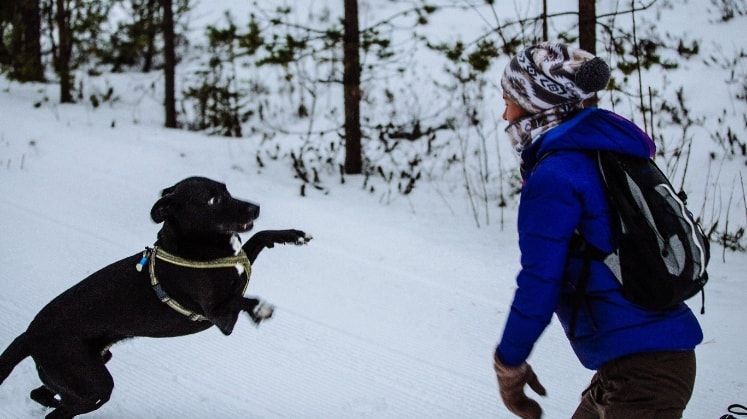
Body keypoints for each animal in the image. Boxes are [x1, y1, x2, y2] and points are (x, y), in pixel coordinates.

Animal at [0, 176, 311, 418]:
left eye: (228, 190)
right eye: (213, 200)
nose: (256, 208)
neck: (194, 249)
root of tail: (29, 334)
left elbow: (257, 239)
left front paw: (291, 235)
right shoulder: (221, 318)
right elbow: (239, 297)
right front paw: (259, 308)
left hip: (89, 366)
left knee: (43, 395)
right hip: (92, 381)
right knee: (62, 410)